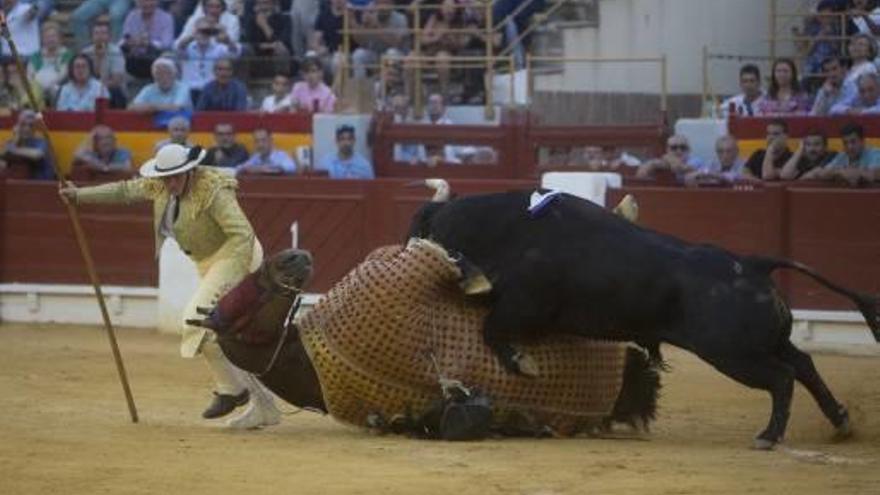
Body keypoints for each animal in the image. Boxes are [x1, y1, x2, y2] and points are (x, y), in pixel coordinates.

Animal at [410, 190, 880, 450]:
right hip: (765, 341)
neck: (499, 231)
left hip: (733, 353)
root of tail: (751, 264)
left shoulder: (523, 307)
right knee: (803, 364)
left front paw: (522, 363)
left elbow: (492, 331)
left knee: (782, 377)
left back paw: (768, 435)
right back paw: (840, 421)